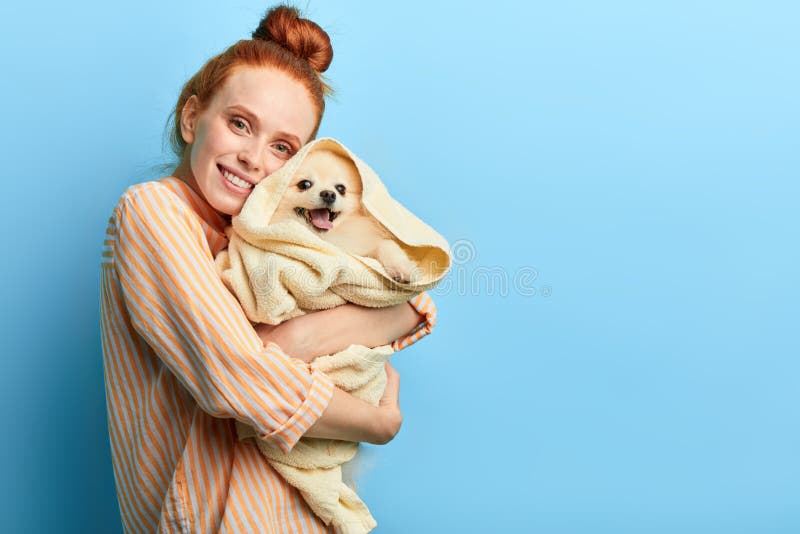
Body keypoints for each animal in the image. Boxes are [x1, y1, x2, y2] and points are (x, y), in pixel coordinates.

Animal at [270, 149, 418, 286]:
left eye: (341, 189)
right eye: (304, 184)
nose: (329, 194)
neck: (325, 238)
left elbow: (387, 243)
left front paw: (402, 268)